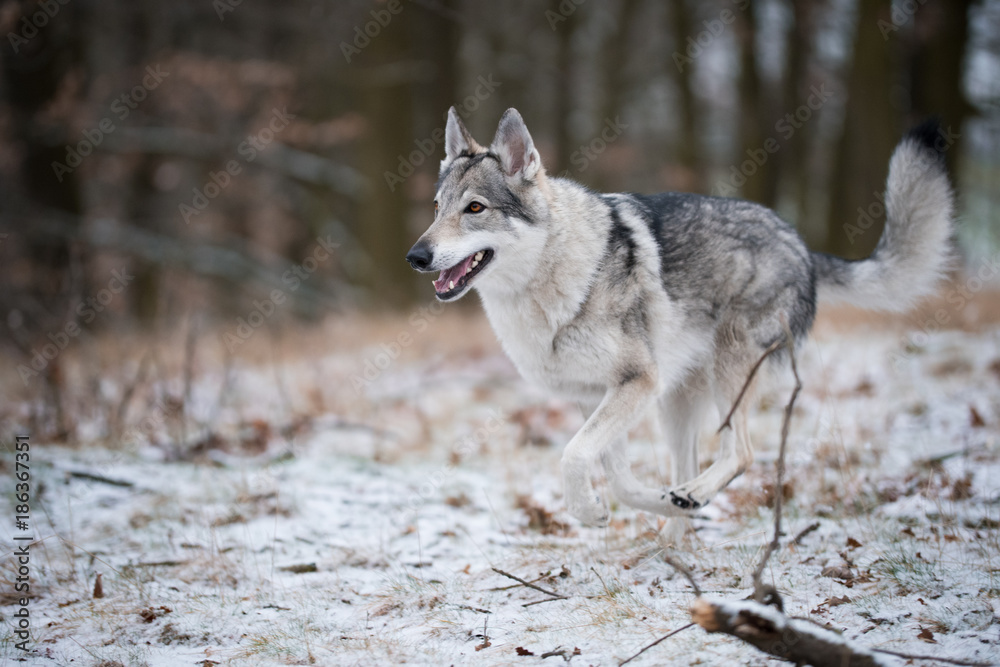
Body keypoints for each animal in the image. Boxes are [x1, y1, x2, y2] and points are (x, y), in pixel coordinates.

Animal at [406, 107, 953, 542]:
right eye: (436, 208)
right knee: (690, 463)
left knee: (743, 454)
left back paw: (690, 503)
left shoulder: (636, 384)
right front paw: (615, 509)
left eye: (475, 208)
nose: (416, 256)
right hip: (676, 402)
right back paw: (674, 535)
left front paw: (591, 508)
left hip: (726, 375)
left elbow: (573, 455)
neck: (552, 282)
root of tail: (799, 242)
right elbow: (618, 479)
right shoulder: (596, 395)